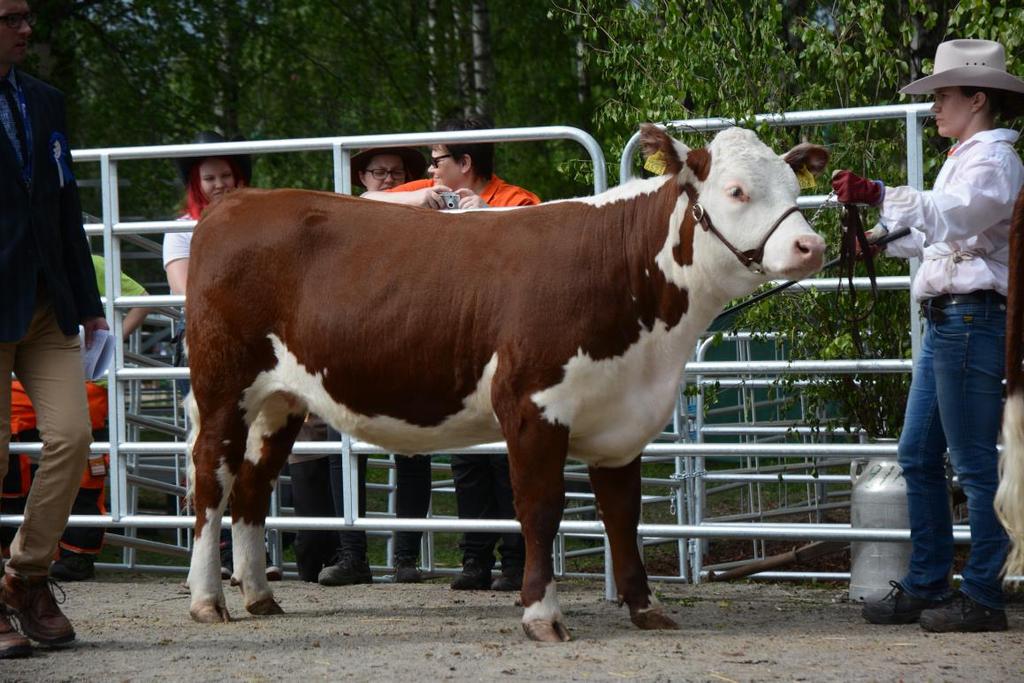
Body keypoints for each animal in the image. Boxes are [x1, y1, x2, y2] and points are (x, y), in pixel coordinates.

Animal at [182, 125, 823, 643]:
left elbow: (623, 516)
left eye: (795, 189)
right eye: (736, 191)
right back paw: (208, 600)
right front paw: (542, 615)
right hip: (223, 385)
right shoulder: (531, 405)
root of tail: (239, 203)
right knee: (212, 479)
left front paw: (646, 608)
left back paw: (260, 596)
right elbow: (540, 510)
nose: (811, 246)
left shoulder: (620, 421)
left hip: (280, 401)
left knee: (252, 487)